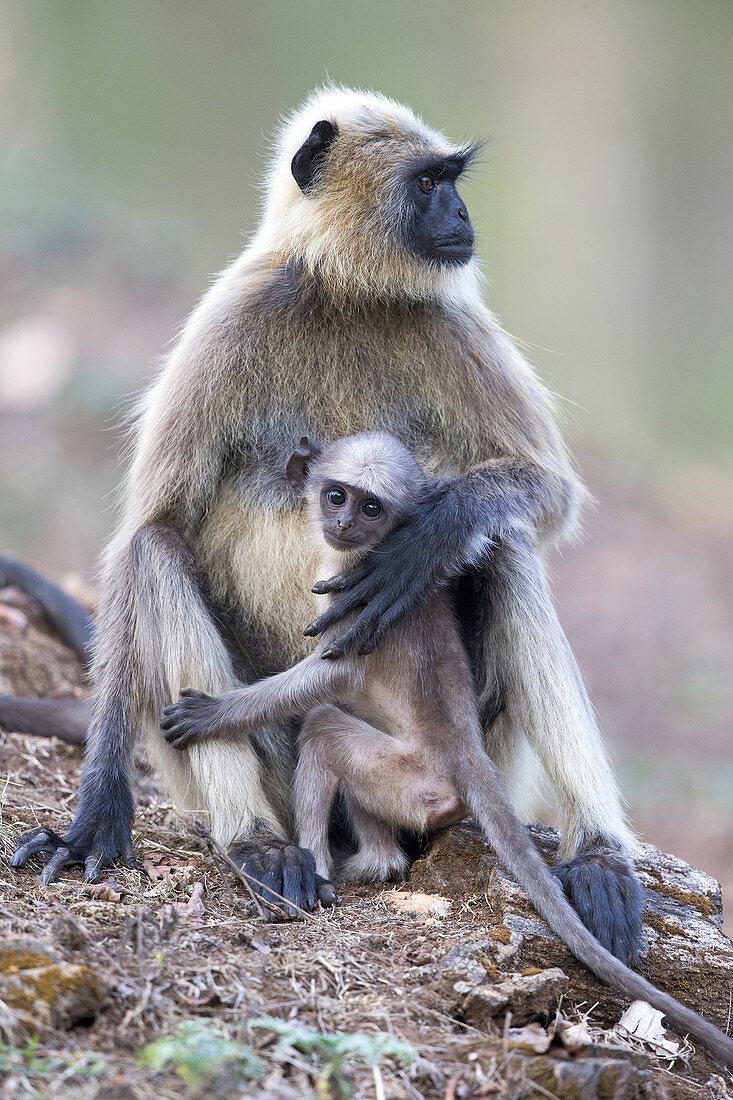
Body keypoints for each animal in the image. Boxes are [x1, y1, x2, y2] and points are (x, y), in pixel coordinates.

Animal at [12, 88, 638, 954]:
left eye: (451, 181)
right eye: (427, 184)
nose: (461, 214)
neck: (346, 293)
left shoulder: (448, 322)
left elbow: (546, 492)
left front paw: (429, 534)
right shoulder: (232, 316)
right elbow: (147, 528)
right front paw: (97, 817)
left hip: (472, 756)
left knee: (504, 543)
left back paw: (599, 857)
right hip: (279, 756)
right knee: (159, 552)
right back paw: (261, 846)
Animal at [161, 431, 733, 1064]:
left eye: (371, 507)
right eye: (336, 495)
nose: (342, 521)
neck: (368, 552)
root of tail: (466, 750)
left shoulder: (353, 599)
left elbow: (327, 678)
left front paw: (213, 714)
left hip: (406, 776)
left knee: (322, 727)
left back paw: (322, 873)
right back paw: (370, 865)